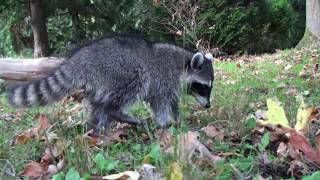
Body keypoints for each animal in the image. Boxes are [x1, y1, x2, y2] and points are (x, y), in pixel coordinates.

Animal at [7, 33, 214, 132]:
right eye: (203, 87)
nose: (208, 106)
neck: (183, 63)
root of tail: (84, 57)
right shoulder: (163, 79)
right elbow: (160, 103)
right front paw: (165, 123)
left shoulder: (172, 84)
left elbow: (172, 102)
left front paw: (179, 119)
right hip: (120, 70)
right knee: (130, 87)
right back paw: (116, 113)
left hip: (103, 80)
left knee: (98, 103)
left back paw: (97, 125)